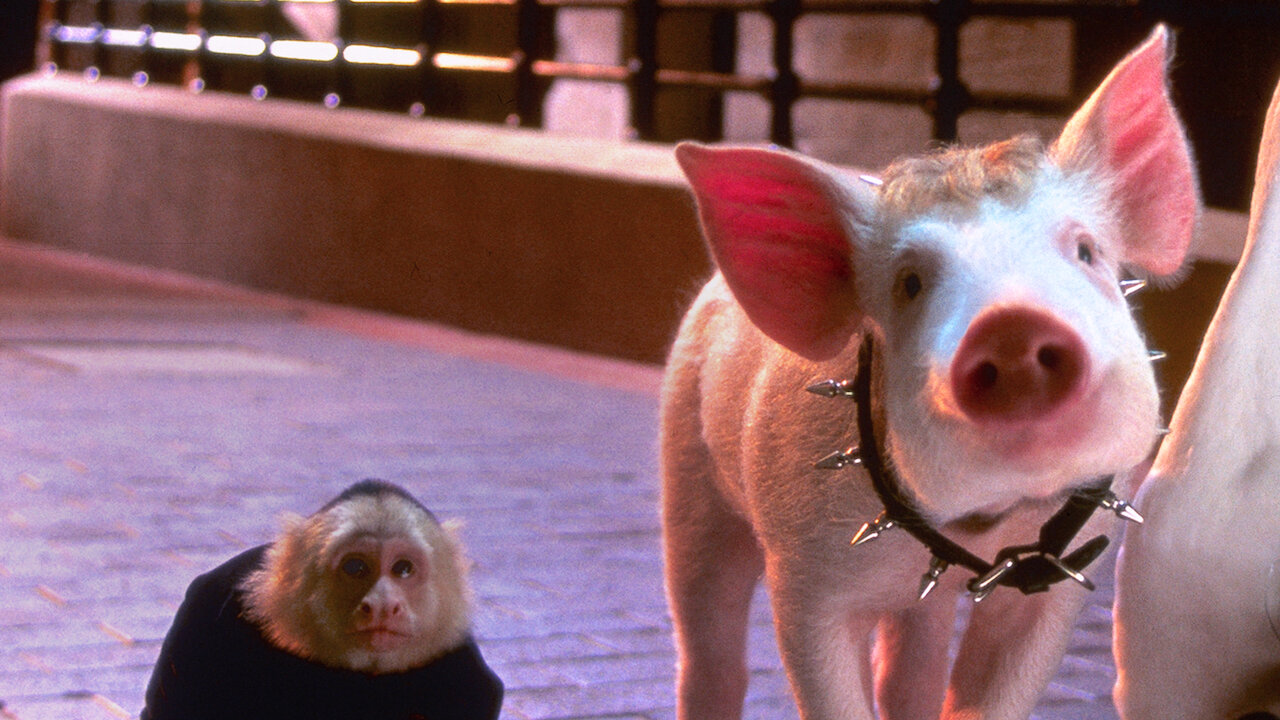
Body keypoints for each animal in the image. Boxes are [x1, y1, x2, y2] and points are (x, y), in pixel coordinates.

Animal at [660, 25, 1198, 720]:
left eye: (1086, 251)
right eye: (909, 283)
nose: (1013, 328)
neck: (982, 525)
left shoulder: (1060, 584)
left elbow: (994, 690)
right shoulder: (805, 577)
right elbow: (825, 683)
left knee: (909, 667)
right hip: (689, 473)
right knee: (708, 644)